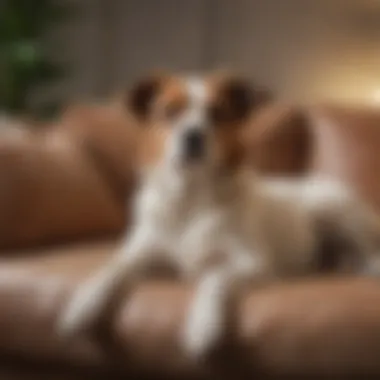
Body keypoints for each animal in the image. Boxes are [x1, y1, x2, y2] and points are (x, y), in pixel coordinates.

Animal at [58, 70, 380, 360]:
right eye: (169, 112)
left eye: (217, 113)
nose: (193, 136)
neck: (191, 197)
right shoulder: (142, 250)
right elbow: (114, 267)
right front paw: (84, 304)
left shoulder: (250, 261)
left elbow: (215, 277)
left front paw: (204, 326)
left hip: (335, 209)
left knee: (366, 250)